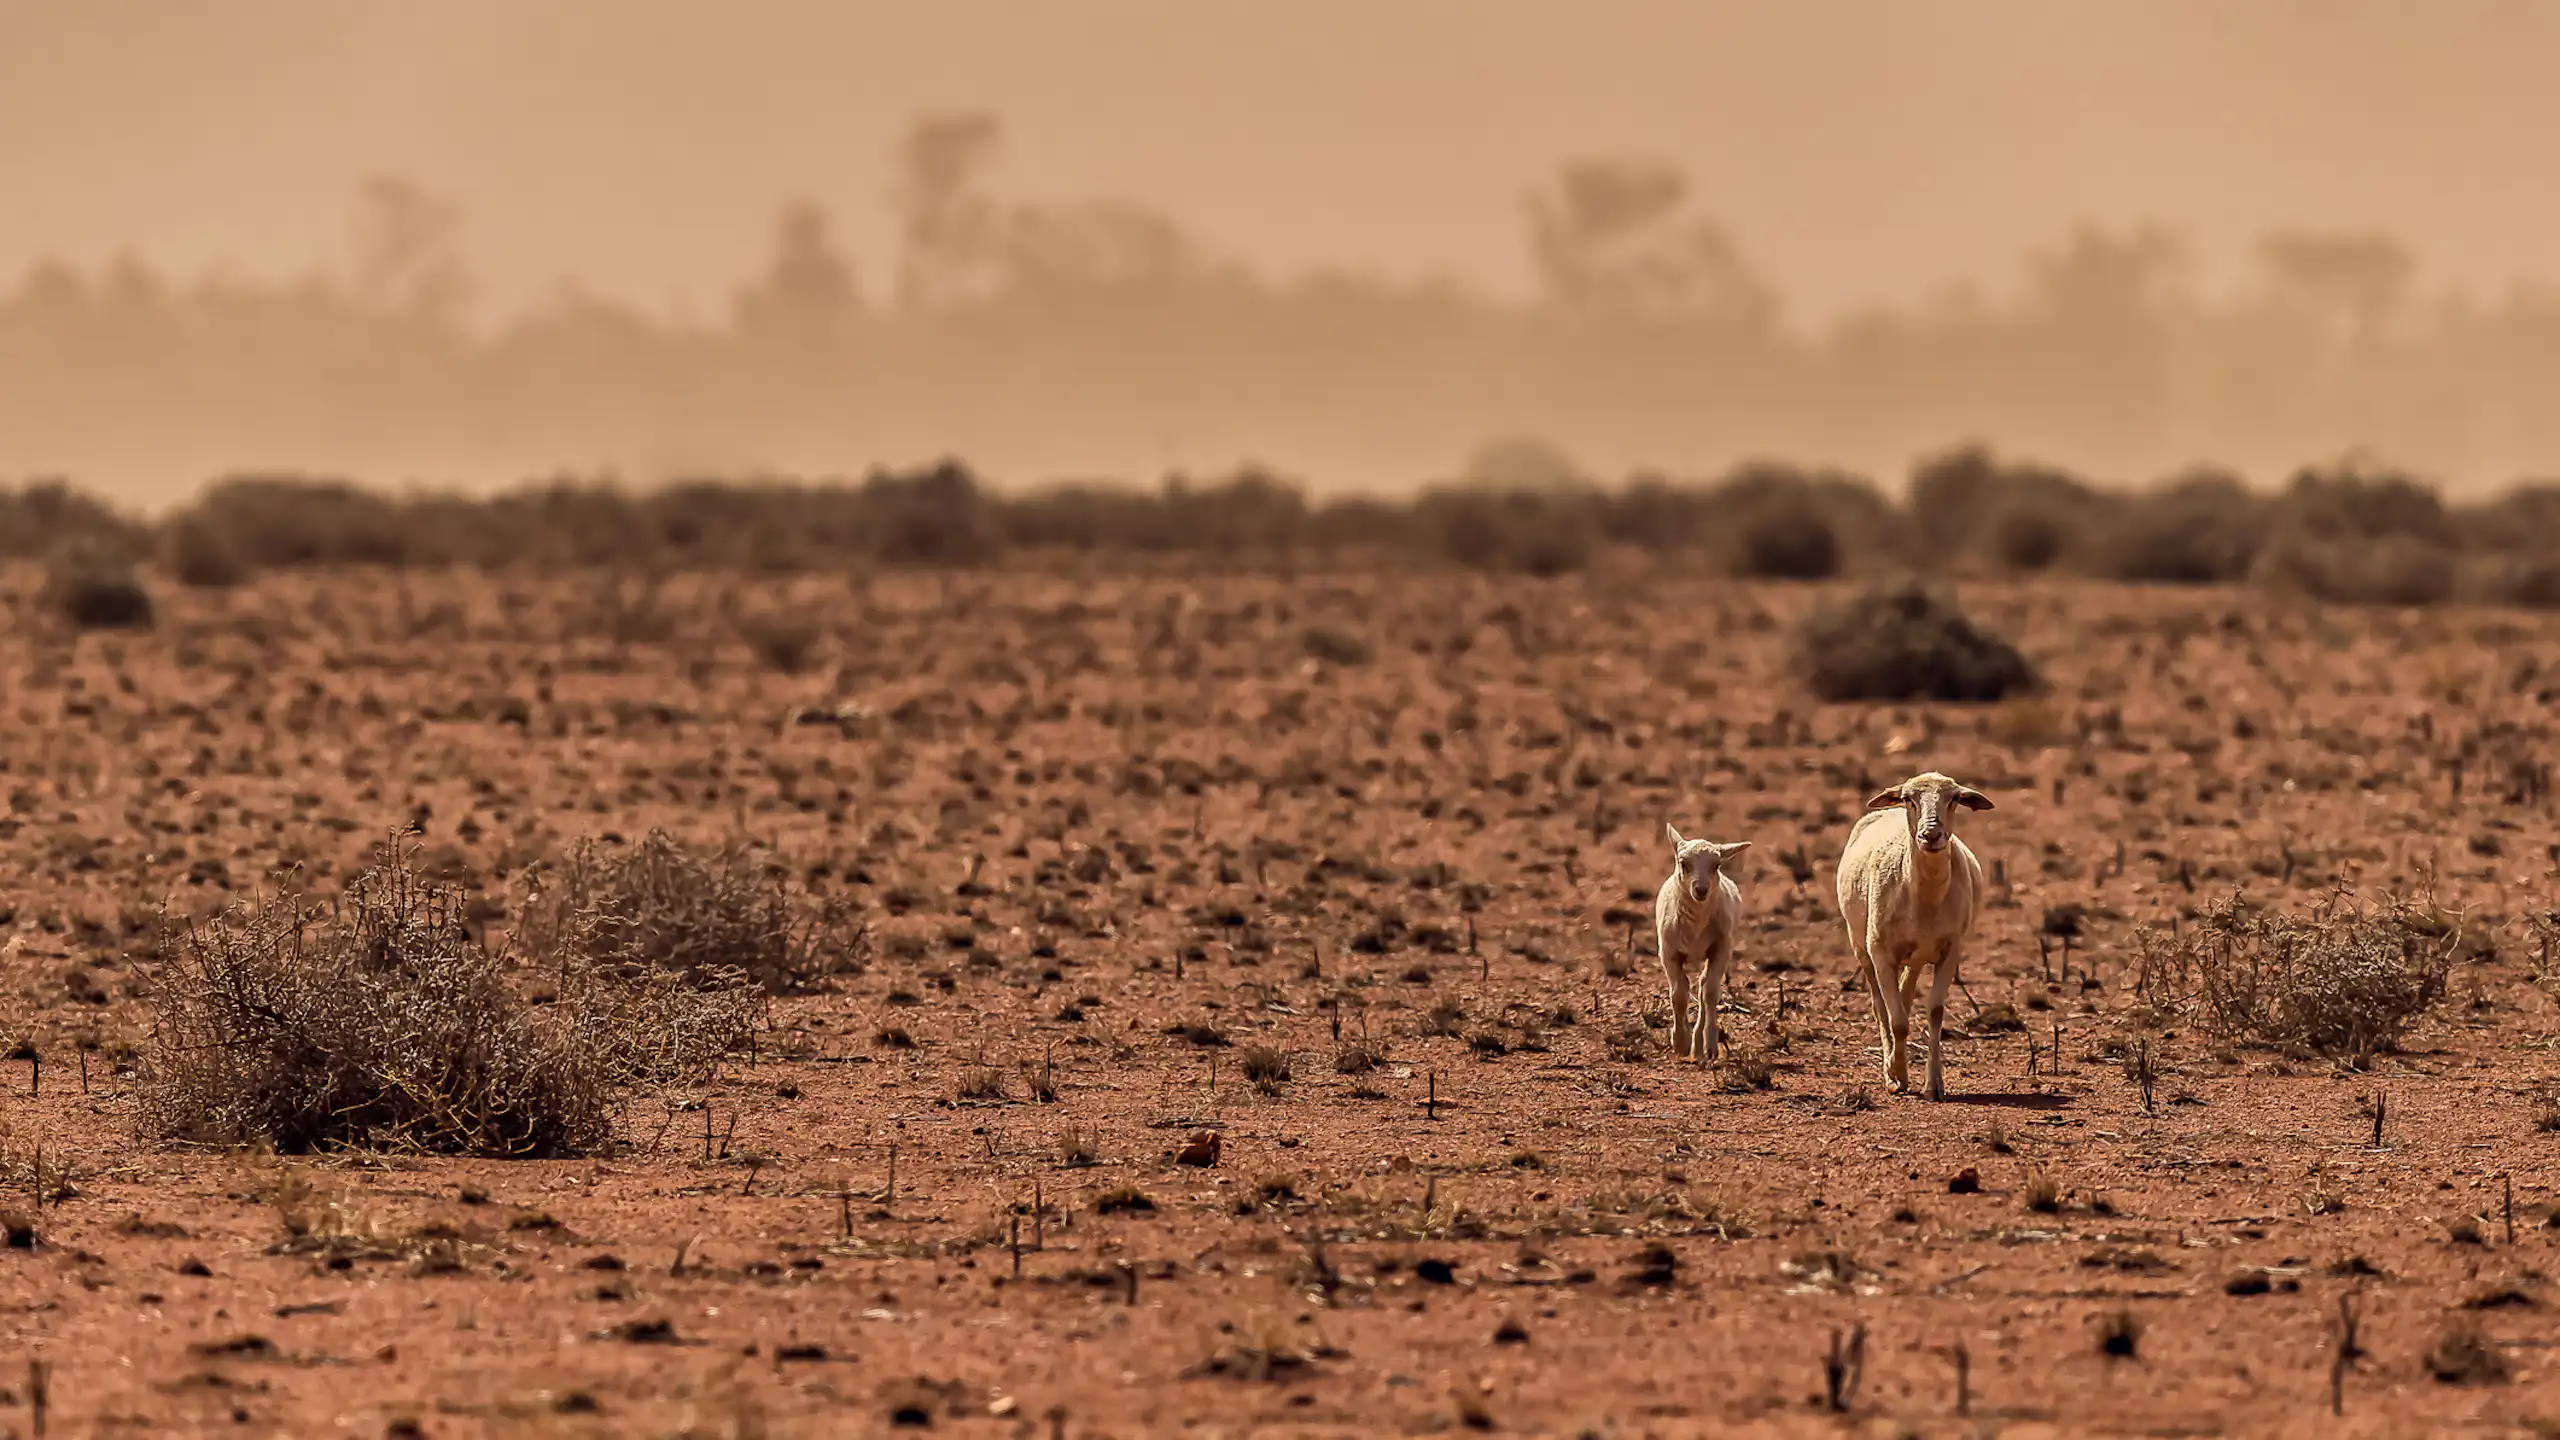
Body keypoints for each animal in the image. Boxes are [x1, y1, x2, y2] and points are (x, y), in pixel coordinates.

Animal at [1655, 824, 1751, 1065]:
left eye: (1716, 866)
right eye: (1683, 864)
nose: (1701, 890)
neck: (1696, 925)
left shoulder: (1721, 950)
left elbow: (1709, 993)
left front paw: (1708, 1045)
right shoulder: (1669, 953)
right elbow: (1678, 994)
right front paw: (1680, 1042)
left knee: (1704, 989)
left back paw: (1699, 1044)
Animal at [1834, 772, 1993, 1100]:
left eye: (1955, 798)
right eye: (1909, 799)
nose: (1931, 835)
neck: (1926, 896)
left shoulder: (1951, 950)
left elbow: (1934, 1012)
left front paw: (1933, 1084)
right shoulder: (1880, 951)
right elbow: (1896, 1021)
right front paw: (1896, 1075)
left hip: (1918, 953)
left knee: (1905, 994)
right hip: (1861, 945)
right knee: (1880, 1005)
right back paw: (1891, 1066)